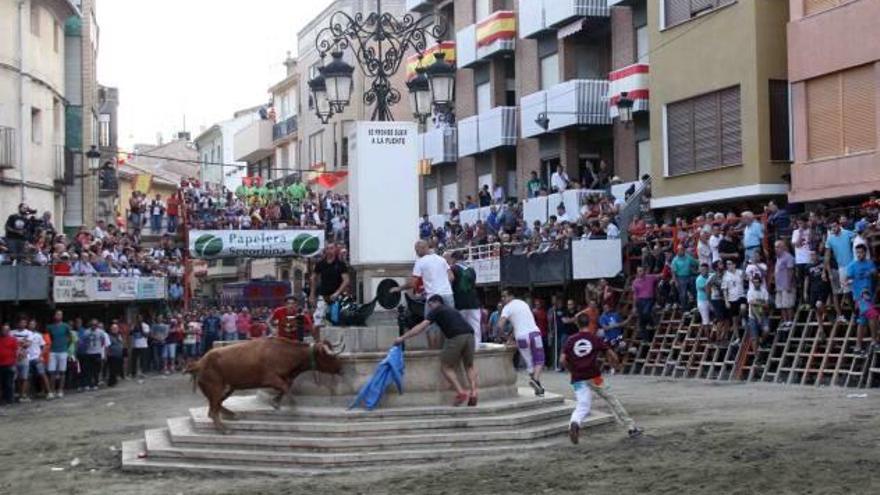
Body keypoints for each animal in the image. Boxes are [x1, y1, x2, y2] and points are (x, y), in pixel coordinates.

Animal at [186, 340, 344, 432]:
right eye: (330, 356)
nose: (341, 368)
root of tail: (199, 362)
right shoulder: (270, 378)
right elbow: (285, 387)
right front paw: (287, 403)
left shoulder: (285, 377)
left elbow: (287, 385)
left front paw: (276, 401)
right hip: (216, 386)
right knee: (213, 410)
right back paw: (224, 428)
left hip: (228, 387)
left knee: (216, 404)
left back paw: (230, 414)